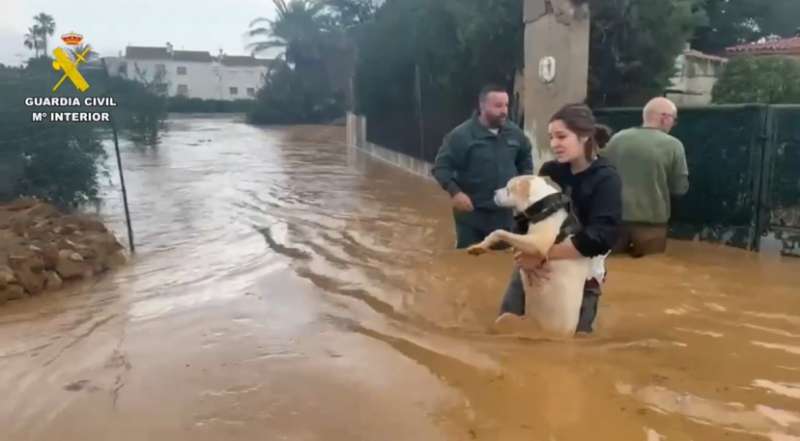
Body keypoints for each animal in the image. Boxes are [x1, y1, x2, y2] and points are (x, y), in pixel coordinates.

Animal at [466, 175, 592, 336]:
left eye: (508, 188)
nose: (494, 192)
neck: (543, 207)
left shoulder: (538, 243)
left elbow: (499, 231)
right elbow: (496, 235)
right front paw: (478, 247)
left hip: (508, 319)